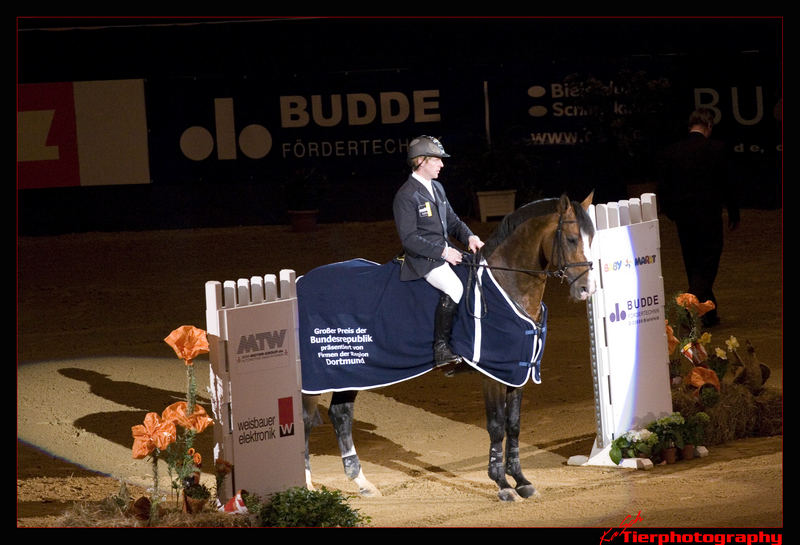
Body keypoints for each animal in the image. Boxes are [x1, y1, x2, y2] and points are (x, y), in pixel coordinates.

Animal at [300, 192, 592, 502]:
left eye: (592, 238)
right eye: (572, 238)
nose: (586, 289)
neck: (506, 283)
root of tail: (303, 282)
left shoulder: (516, 372)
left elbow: (513, 425)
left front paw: (522, 481)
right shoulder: (492, 373)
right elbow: (496, 426)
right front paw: (502, 485)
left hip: (352, 370)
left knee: (341, 415)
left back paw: (362, 483)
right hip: (317, 375)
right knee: (305, 421)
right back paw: (305, 486)